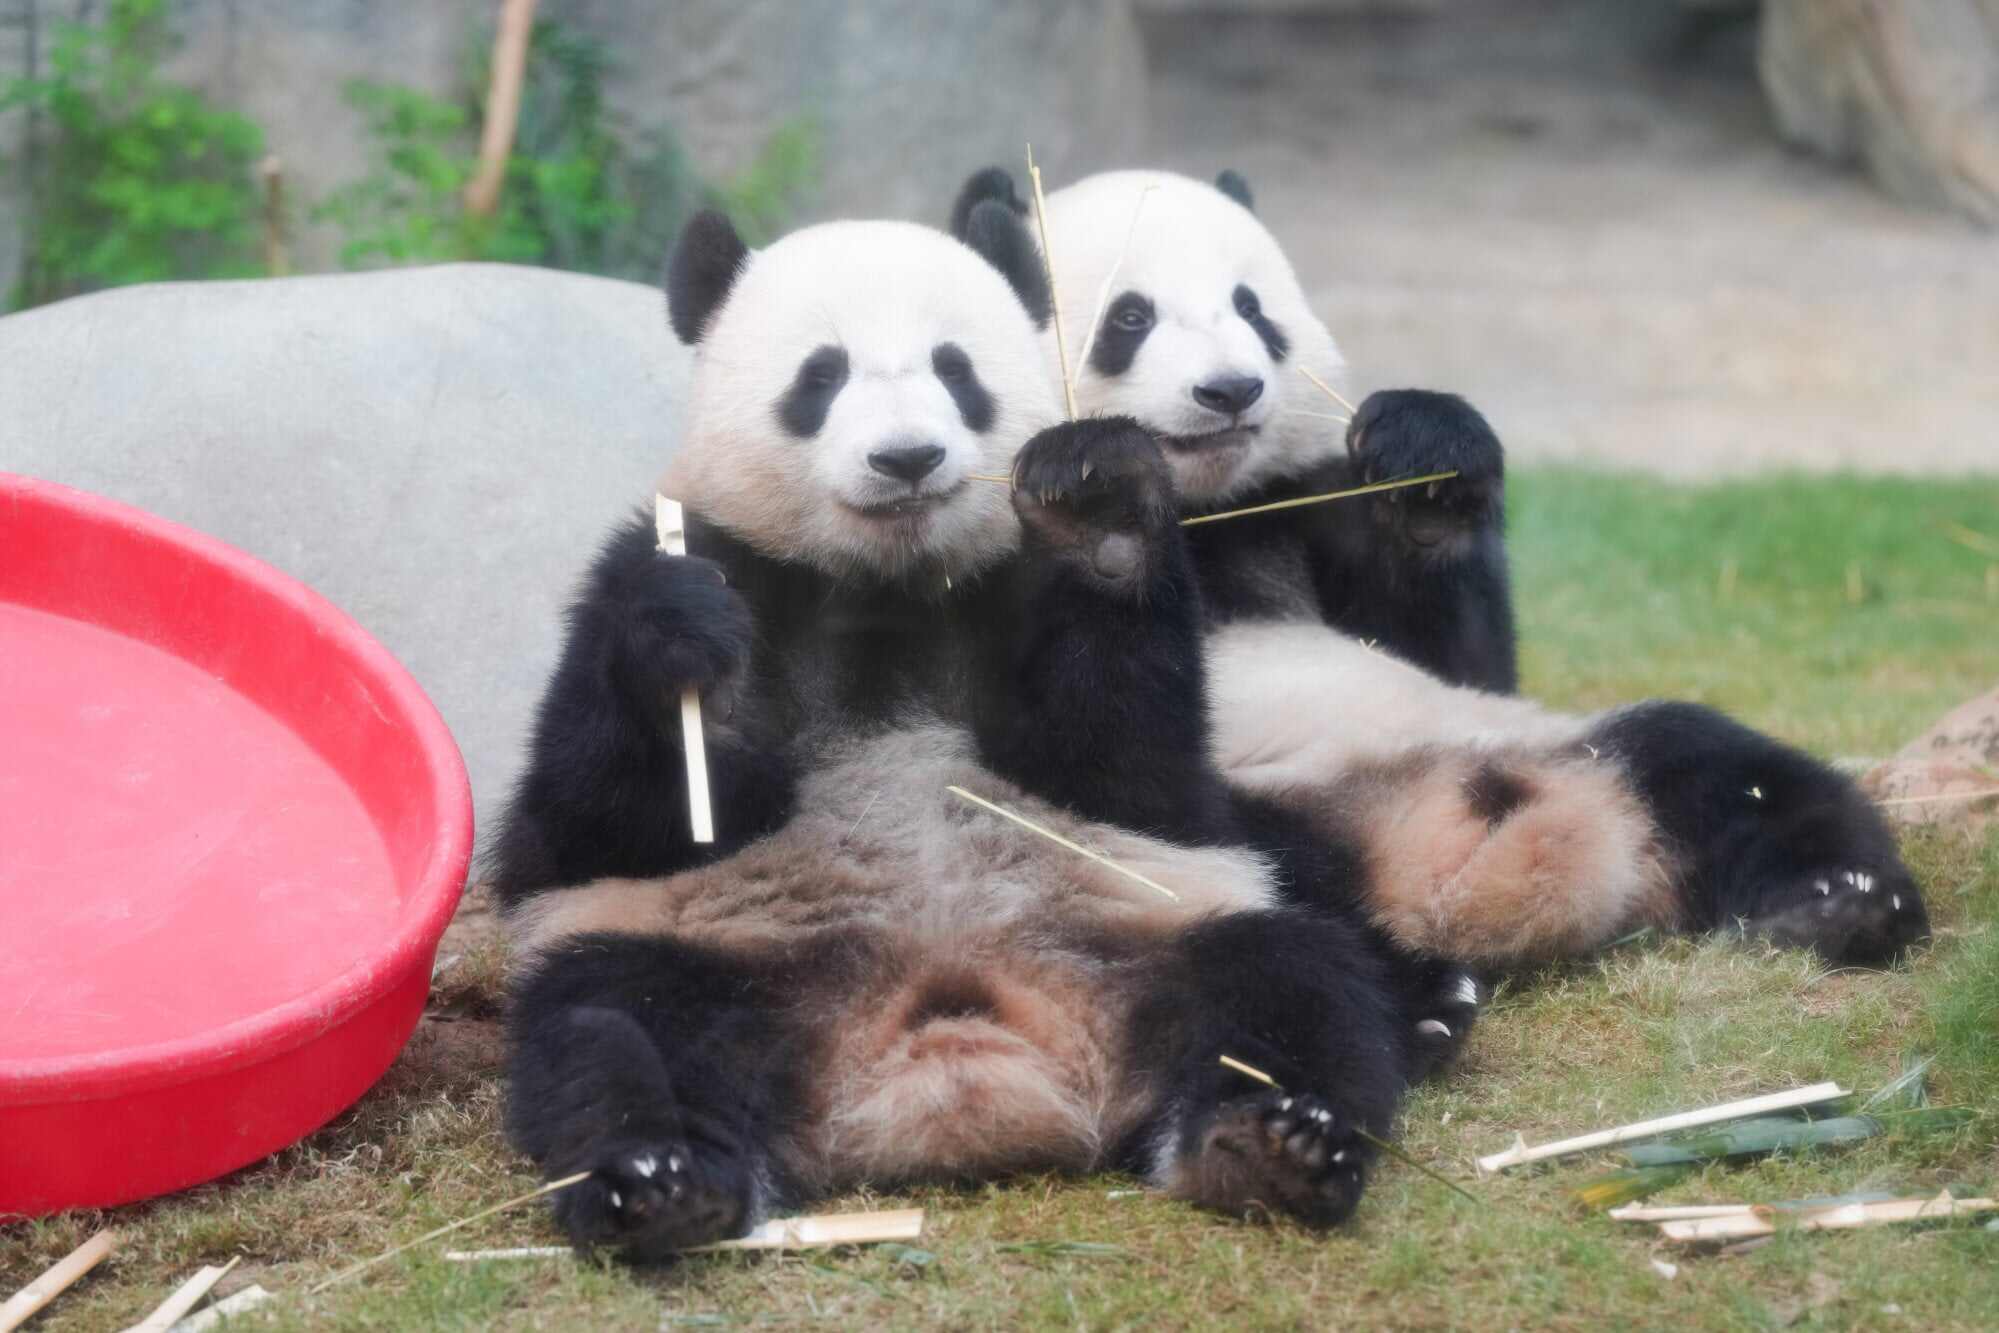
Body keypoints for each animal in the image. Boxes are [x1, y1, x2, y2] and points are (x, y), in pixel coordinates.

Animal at [487, 209, 1435, 1257]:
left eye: (955, 369)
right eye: (822, 376)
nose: (907, 458)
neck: (885, 584)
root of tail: (970, 1066)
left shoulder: (1022, 598)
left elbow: (1129, 770)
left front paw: (1099, 509)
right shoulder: (699, 557)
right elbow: (582, 825)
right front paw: (682, 640)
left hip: (1158, 931)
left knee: (1292, 984)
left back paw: (1270, 1142)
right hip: (714, 959)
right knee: (612, 1031)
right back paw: (661, 1180)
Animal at [949, 166, 1929, 968]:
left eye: (1255, 311)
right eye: (1130, 317)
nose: (1230, 390)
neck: (1211, 509)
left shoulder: (1306, 506)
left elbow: (1454, 649)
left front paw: (1426, 462)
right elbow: (1079, 757)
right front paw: (1101, 500)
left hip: (1552, 737)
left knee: (1727, 764)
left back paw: (1839, 904)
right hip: (1253, 828)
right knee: (1222, 856)